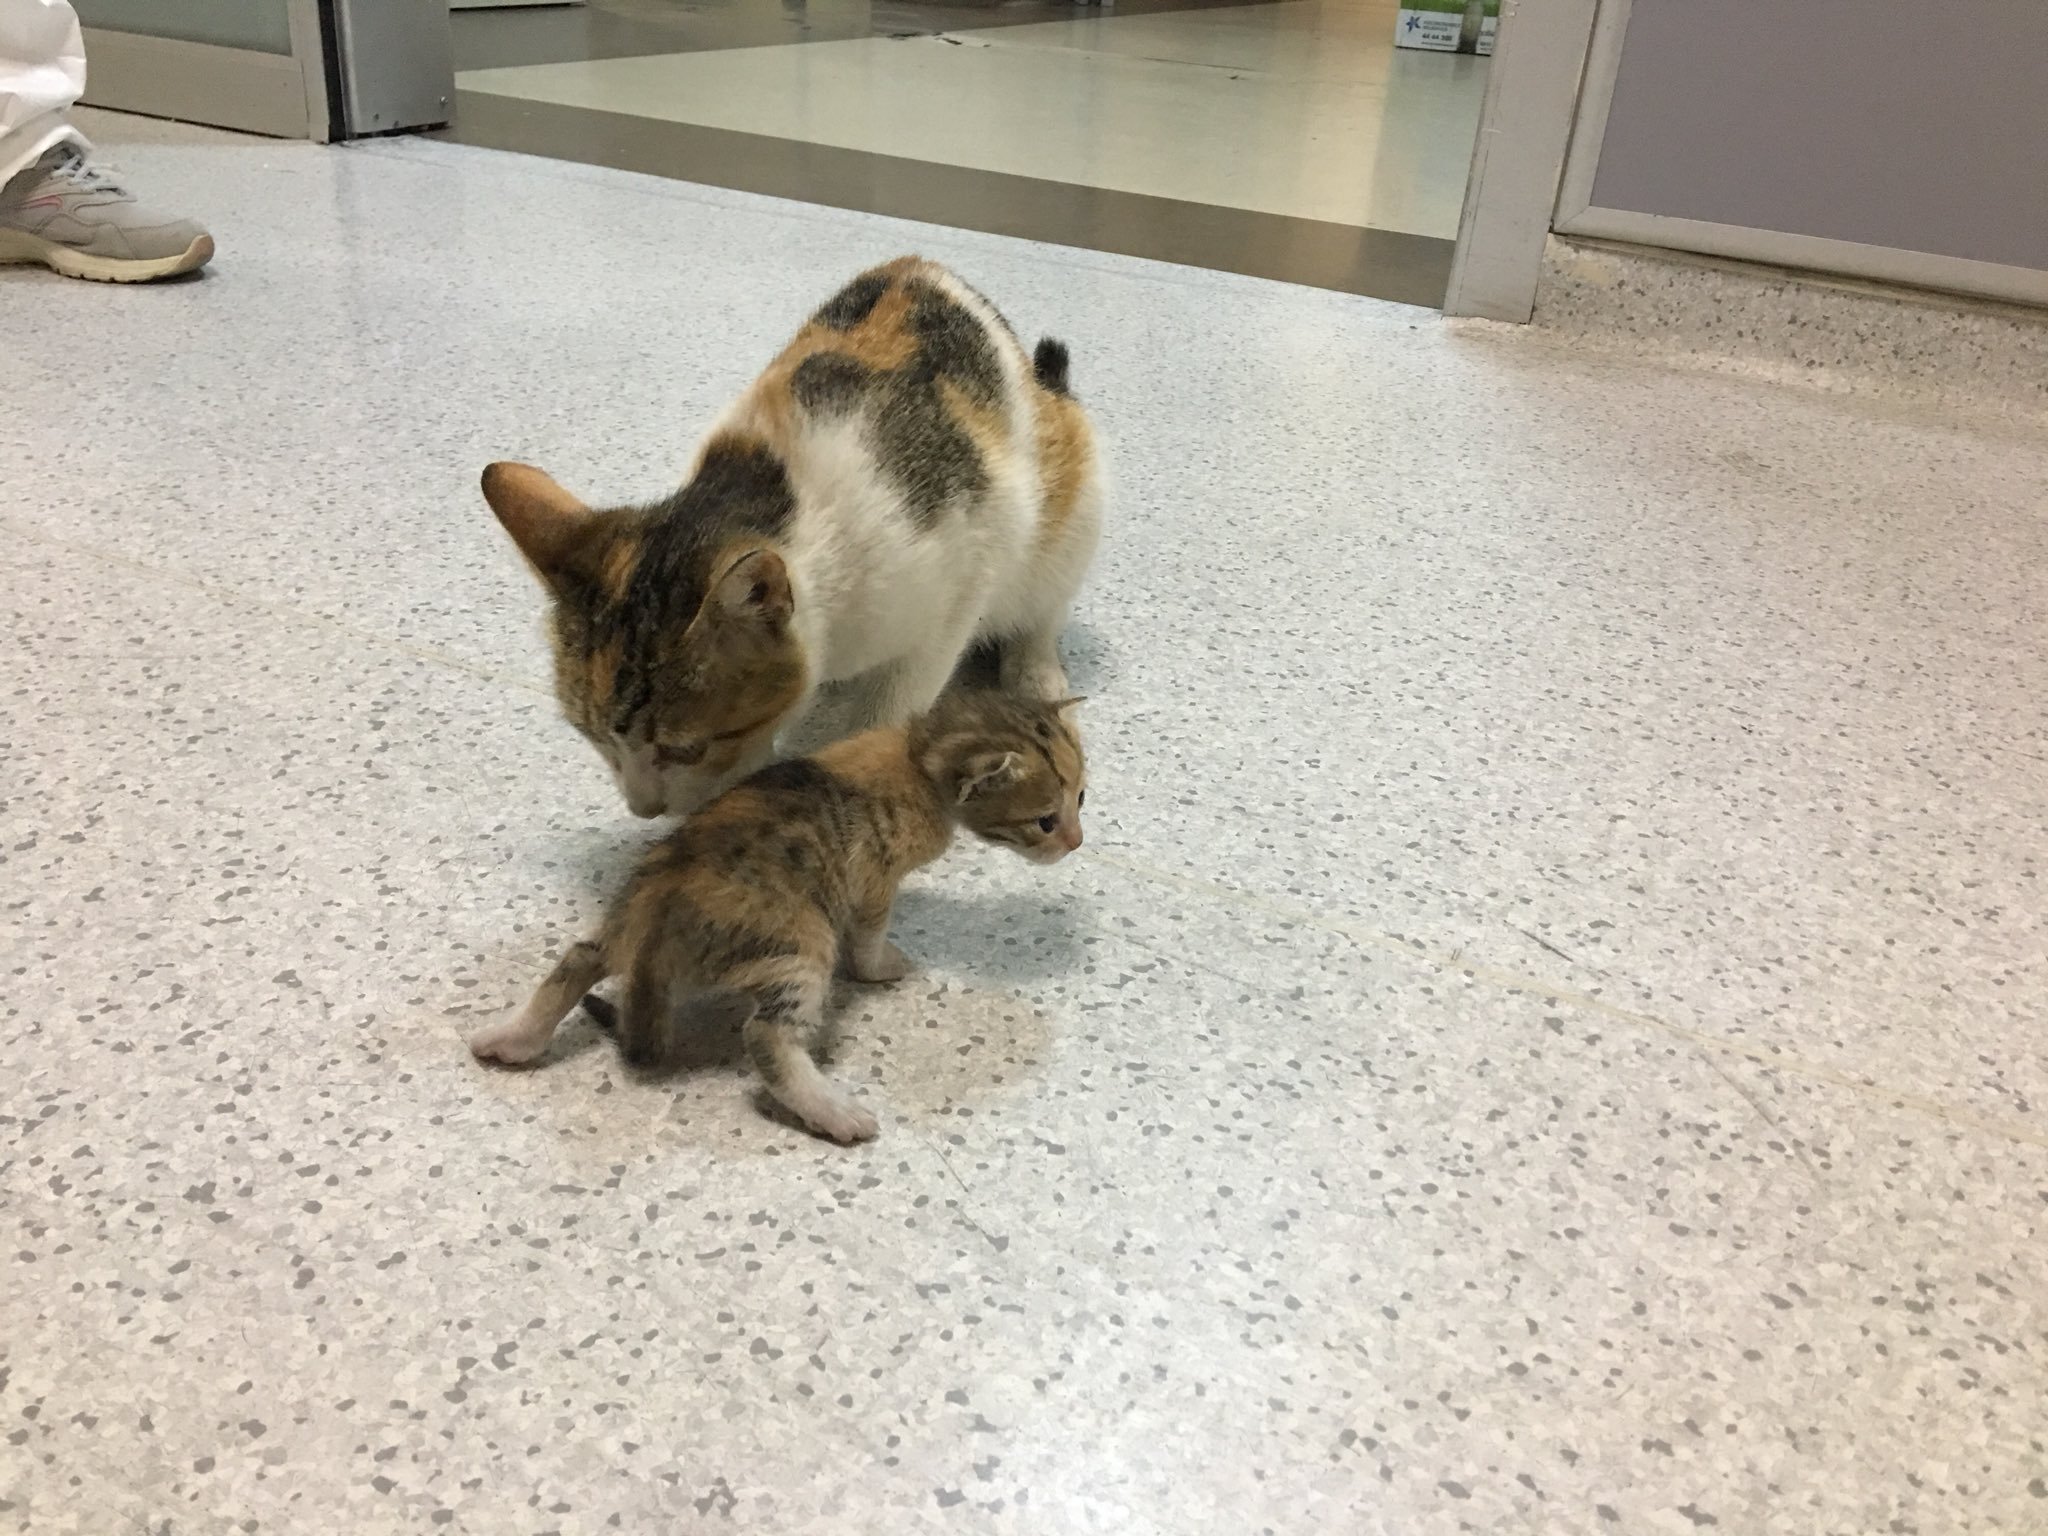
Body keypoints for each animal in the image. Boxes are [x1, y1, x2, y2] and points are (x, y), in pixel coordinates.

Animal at [473, 692, 1097, 1146]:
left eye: (1083, 799)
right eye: (1045, 820)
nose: (1077, 841)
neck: (916, 756)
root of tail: (654, 922)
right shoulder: (874, 882)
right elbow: (869, 937)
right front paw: (881, 967)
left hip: (624, 914)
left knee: (579, 957)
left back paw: (508, 1039)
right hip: (801, 947)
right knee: (766, 1036)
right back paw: (837, 1113)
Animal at [481, 259, 1105, 823]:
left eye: (688, 748)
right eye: (592, 739)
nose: (645, 810)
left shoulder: (960, 580)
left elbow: (893, 703)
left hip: (1076, 505)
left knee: (1043, 606)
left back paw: (1034, 671)